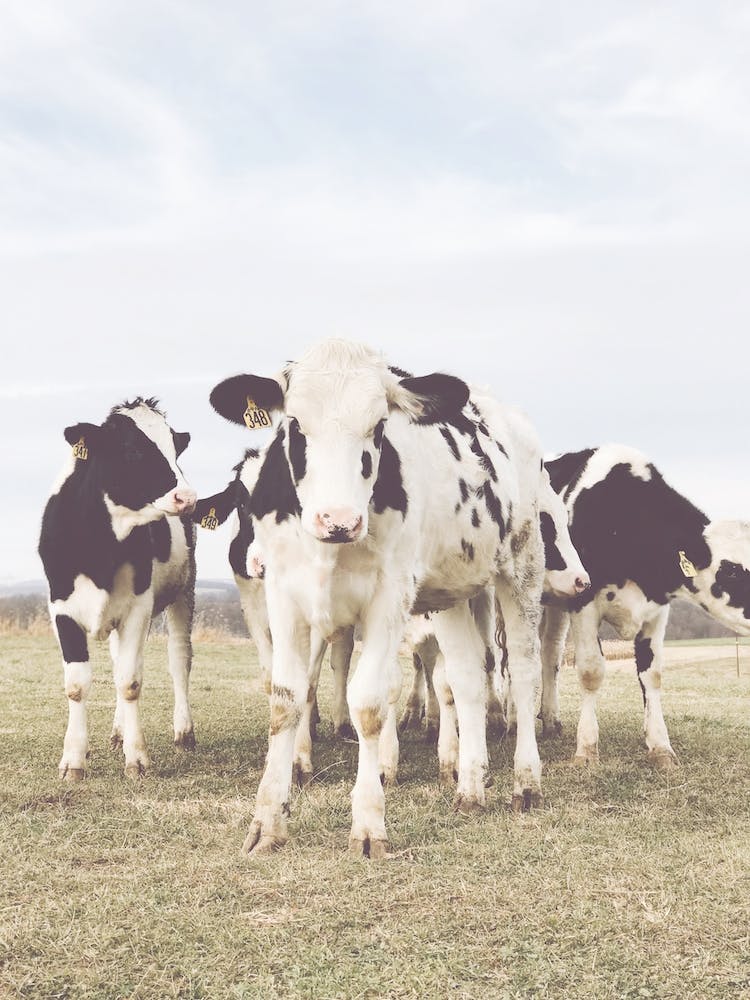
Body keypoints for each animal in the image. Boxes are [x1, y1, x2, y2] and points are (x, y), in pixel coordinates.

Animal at [38, 398, 198, 780]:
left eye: (175, 449)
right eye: (132, 450)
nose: (187, 497)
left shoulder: (138, 607)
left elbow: (130, 681)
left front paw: (136, 759)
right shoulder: (60, 608)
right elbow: (77, 684)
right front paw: (74, 760)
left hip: (184, 591)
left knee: (179, 659)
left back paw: (183, 730)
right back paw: (117, 731)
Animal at [209, 338, 554, 858]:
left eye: (378, 427)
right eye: (295, 425)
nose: (338, 520)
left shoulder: (389, 599)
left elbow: (370, 703)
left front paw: (369, 824)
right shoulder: (284, 596)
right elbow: (285, 699)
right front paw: (268, 822)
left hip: (521, 567)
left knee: (523, 673)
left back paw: (527, 783)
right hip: (452, 591)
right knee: (467, 680)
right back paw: (471, 788)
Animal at [541, 444, 750, 767]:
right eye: (731, 571)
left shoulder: (656, 610)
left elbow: (652, 674)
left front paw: (660, 745)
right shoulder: (583, 603)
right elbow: (591, 671)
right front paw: (586, 749)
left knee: (549, 653)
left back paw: (550, 721)